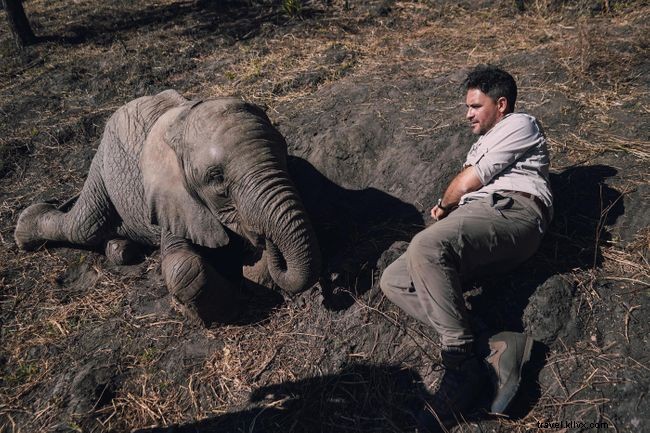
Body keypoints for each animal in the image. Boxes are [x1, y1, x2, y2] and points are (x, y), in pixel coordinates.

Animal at [14, 89, 321, 325]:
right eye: (216, 179)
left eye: (284, 154)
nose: (262, 237)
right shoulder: (173, 199)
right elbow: (182, 267)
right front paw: (226, 310)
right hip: (102, 165)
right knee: (83, 227)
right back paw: (25, 230)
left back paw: (121, 250)